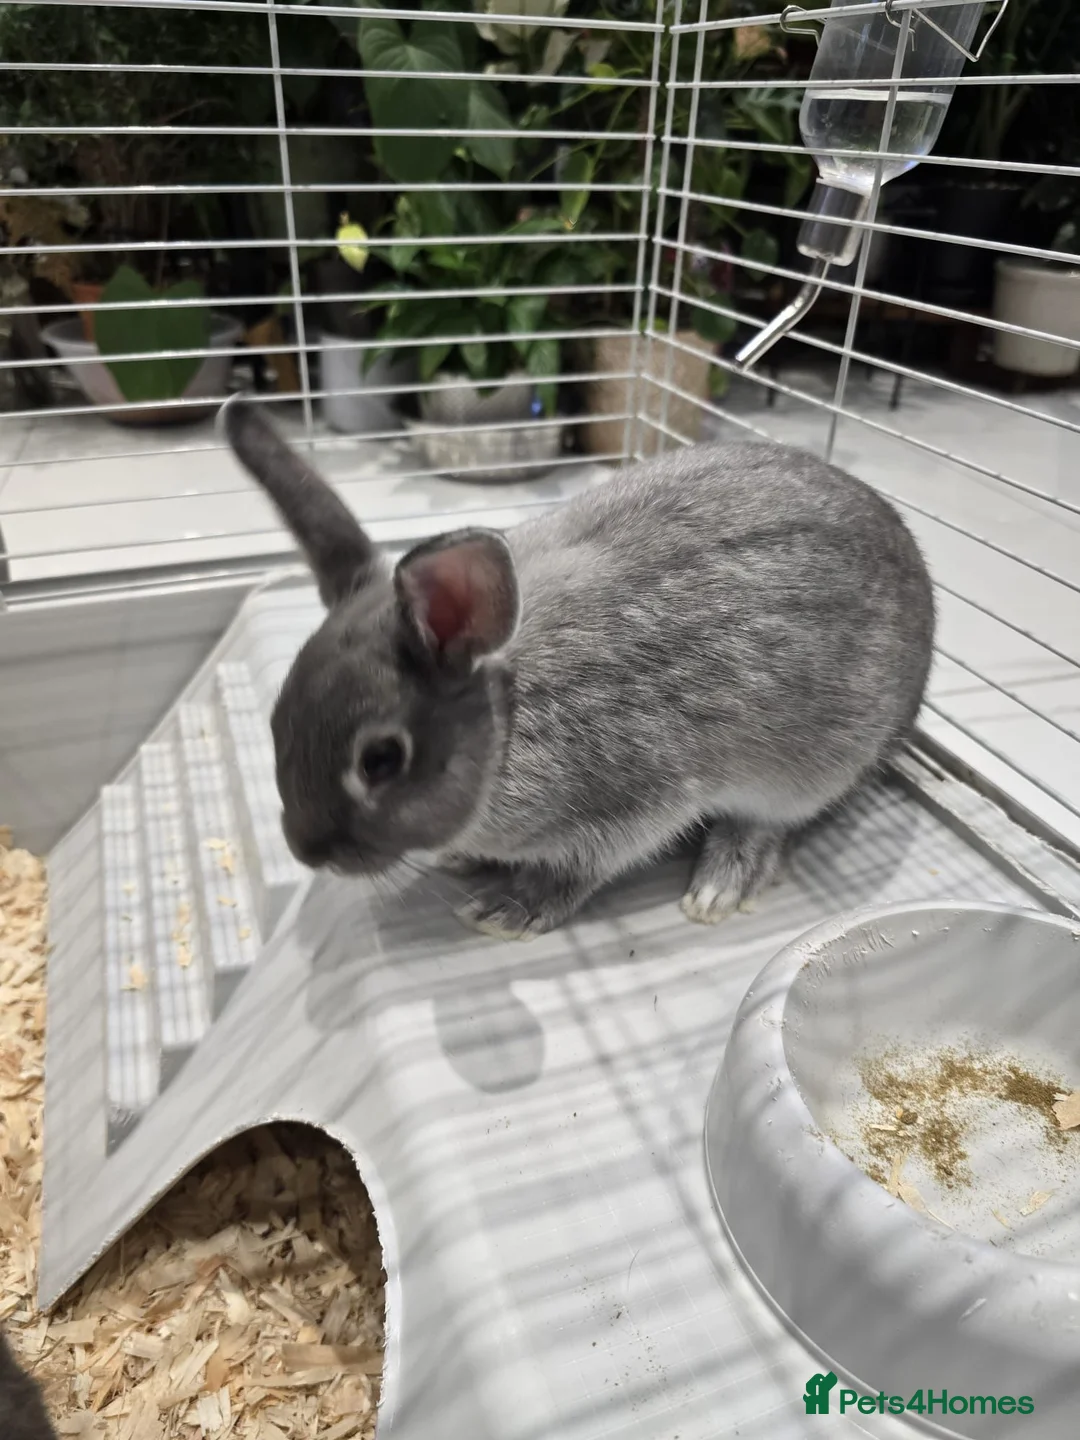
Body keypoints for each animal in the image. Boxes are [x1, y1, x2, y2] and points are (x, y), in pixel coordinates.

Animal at [222, 397, 934, 940]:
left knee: (772, 823)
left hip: (812, 767)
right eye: (277, 721)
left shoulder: (629, 804)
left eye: (380, 761)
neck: (509, 723)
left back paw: (721, 883)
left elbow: (580, 867)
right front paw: (464, 860)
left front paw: (510, 909)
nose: (306, 850)